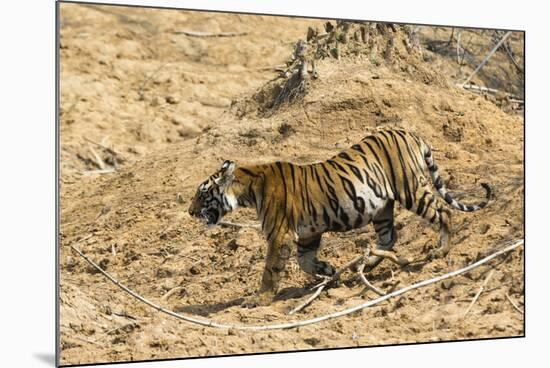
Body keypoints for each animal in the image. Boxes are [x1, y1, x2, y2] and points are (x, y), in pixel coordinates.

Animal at [189, 128, 492, 306]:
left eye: (202, 194)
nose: (190, 212)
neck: (248, 188)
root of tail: (409, 132)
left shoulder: (279, 234)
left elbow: (271, 269)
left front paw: (259, 299)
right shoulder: (308, 233)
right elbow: (304, 261)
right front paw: (328, 271)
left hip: (410, 189)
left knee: (443, 211)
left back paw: (441, 250)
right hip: (381, 208)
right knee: (389, 237)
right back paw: (367, 264)